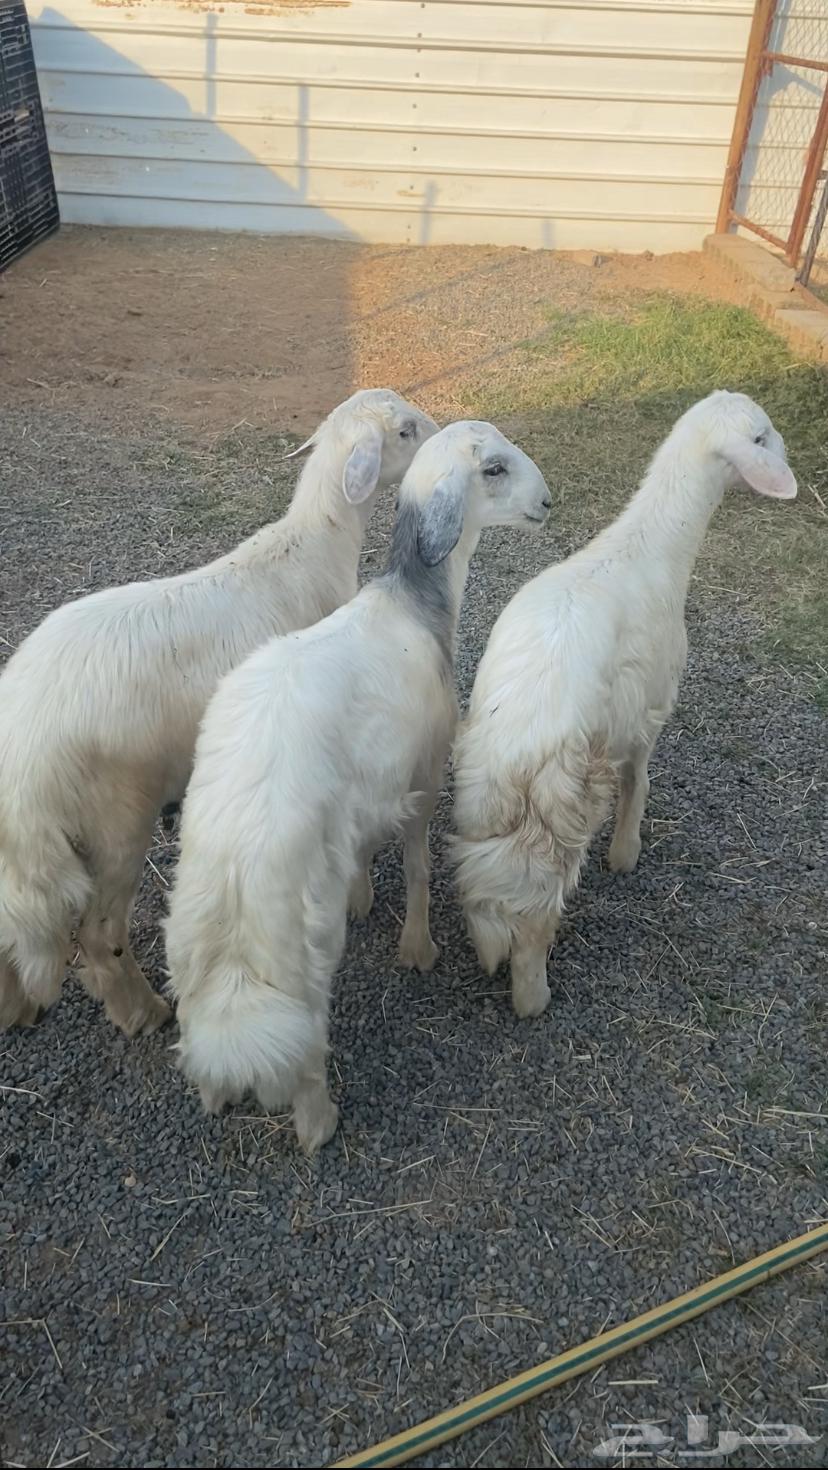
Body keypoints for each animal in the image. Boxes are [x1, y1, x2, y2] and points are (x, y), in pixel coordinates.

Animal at [0, 389, 437, 1038]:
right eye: (405, 431)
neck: (313, 546)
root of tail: (21, 752)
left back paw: (15, 1006)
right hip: (115, 822)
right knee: (100, 937)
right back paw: (142, 1012)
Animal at [165, 420, 552, 1153]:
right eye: (493, 469)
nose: (548, 502)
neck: (415, 603)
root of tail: (236, 843)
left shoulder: (374, 784)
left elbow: (371, 850)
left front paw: (365, 895)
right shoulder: (422, 775)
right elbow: (420, 867)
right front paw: (417, 947)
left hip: (193, 924)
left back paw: (211, 1094)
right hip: (300, 940)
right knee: (306, 1041)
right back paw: (319, 1124)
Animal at [452, 390, 797, 1020]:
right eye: (763, 436)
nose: (788, 457)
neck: (652, 546)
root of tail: (519, 743)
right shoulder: (649, 703)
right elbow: (639, 777)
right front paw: (626, 853)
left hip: (481, 807)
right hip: (567, 803)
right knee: (534, 912)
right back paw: (533, 995)